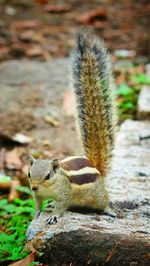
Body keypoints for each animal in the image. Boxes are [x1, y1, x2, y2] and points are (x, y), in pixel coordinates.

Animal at [27, 31, 115, 222]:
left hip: (97, 195)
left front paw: (54, 215)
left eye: (47, 176)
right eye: (29, 174)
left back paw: (107, 210)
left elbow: (62, 204)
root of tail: (96, 167)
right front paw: (37, 214)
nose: (34, 187)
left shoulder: (65, 193)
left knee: (104, 200)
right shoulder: (37, 195)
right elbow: (37, 204)